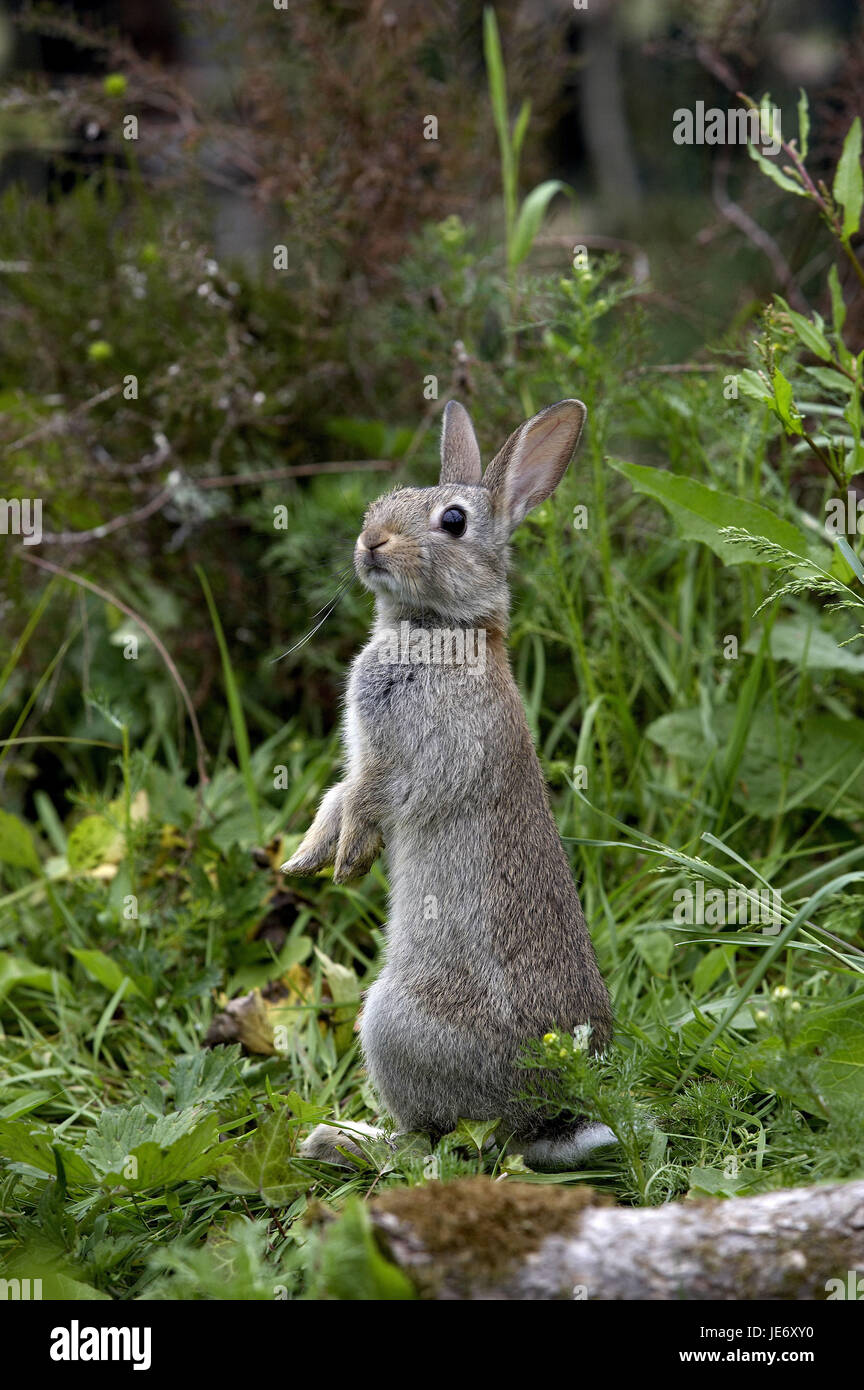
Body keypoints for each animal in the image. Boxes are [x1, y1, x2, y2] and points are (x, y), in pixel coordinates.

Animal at [284, 403, 616, 1173]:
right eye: (384, 501)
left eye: (454, 521)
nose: (370, 541)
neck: (440, 627)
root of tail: (545, 1112)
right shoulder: (359, 757)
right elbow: (336, 796)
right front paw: (306, 859)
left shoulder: (407, 754)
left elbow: (370, 795)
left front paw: (348, 860)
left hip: (390, 1023)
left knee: (432, 1146)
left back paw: (339, 1138)